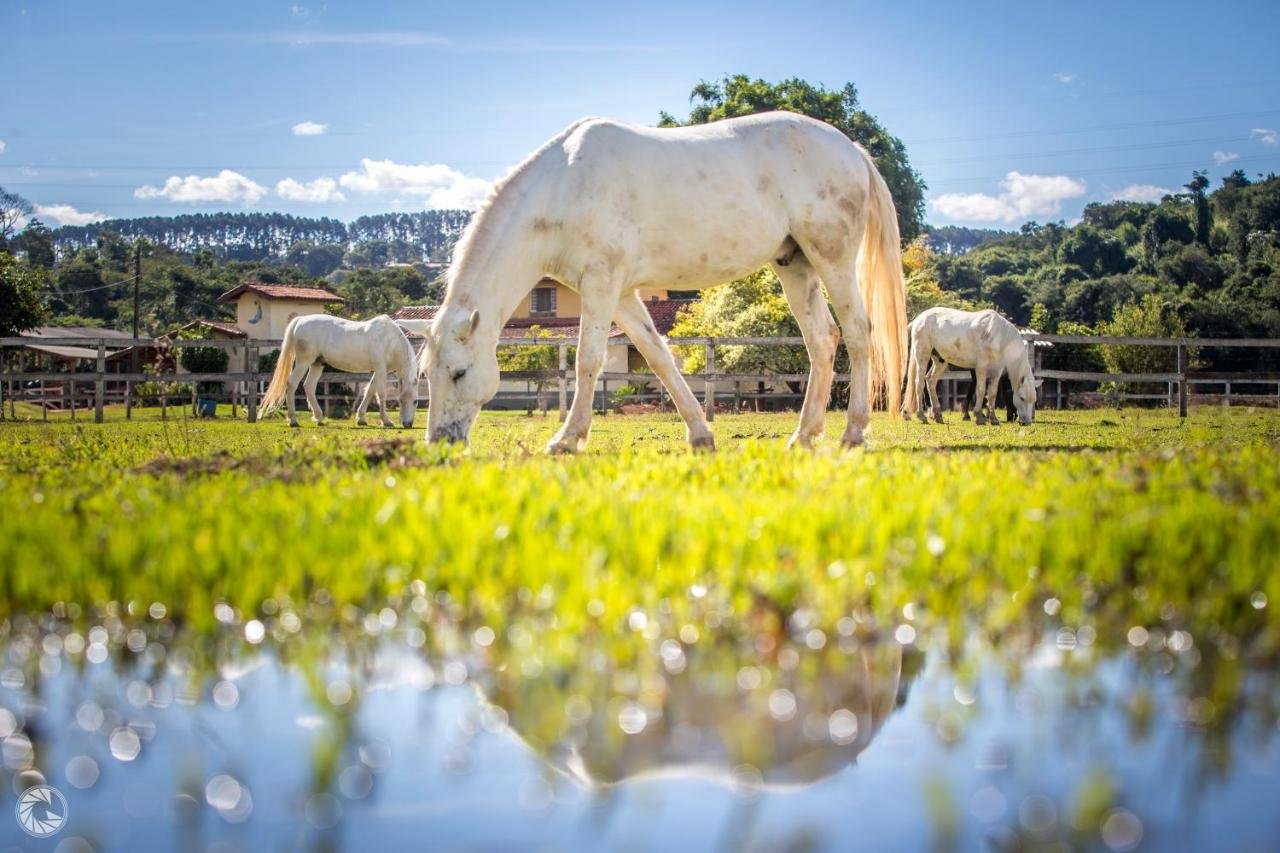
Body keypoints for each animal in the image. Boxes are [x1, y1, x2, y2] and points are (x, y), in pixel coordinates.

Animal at [257, 313, 417, 425]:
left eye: (415, 401)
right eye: (406, 401)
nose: (407, 424)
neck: (389, 341)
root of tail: (300, 320)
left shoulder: (378, 371)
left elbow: (370, 391)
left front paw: (361, 418)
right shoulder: (380, 369)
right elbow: (381, 394)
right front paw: (386, 421)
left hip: (317, 364)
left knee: (309, 386)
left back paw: (319, 417)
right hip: (303, 362)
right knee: (292, 384)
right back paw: (293, 420)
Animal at [424, 112, 906, 450]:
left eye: (459, 372)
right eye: (427, 374)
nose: (440, 444)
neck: (563, 188)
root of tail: (851, 150)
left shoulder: (601, 285)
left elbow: (587, 361)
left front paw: (566, 439)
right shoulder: (621, 295)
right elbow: (658, 358)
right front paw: (700, 435)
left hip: (832, 259)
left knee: (857, 334)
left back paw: (853, 433)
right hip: (795, 265)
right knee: (822, 339)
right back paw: (803, 435)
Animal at [901, 306, 1039, 425]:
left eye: (1034, 400)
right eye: (1022, 398)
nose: (1026, 422)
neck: (998, 335)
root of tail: (919, 319)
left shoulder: (997, 371)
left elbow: (992, 393)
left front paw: (993, 419)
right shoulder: (981, 368)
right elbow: (981, 390)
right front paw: (978, 416)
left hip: (940, 361)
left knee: (931, 381)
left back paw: (938, 415)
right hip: (922, 356)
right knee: (919, 383)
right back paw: (921, 416)